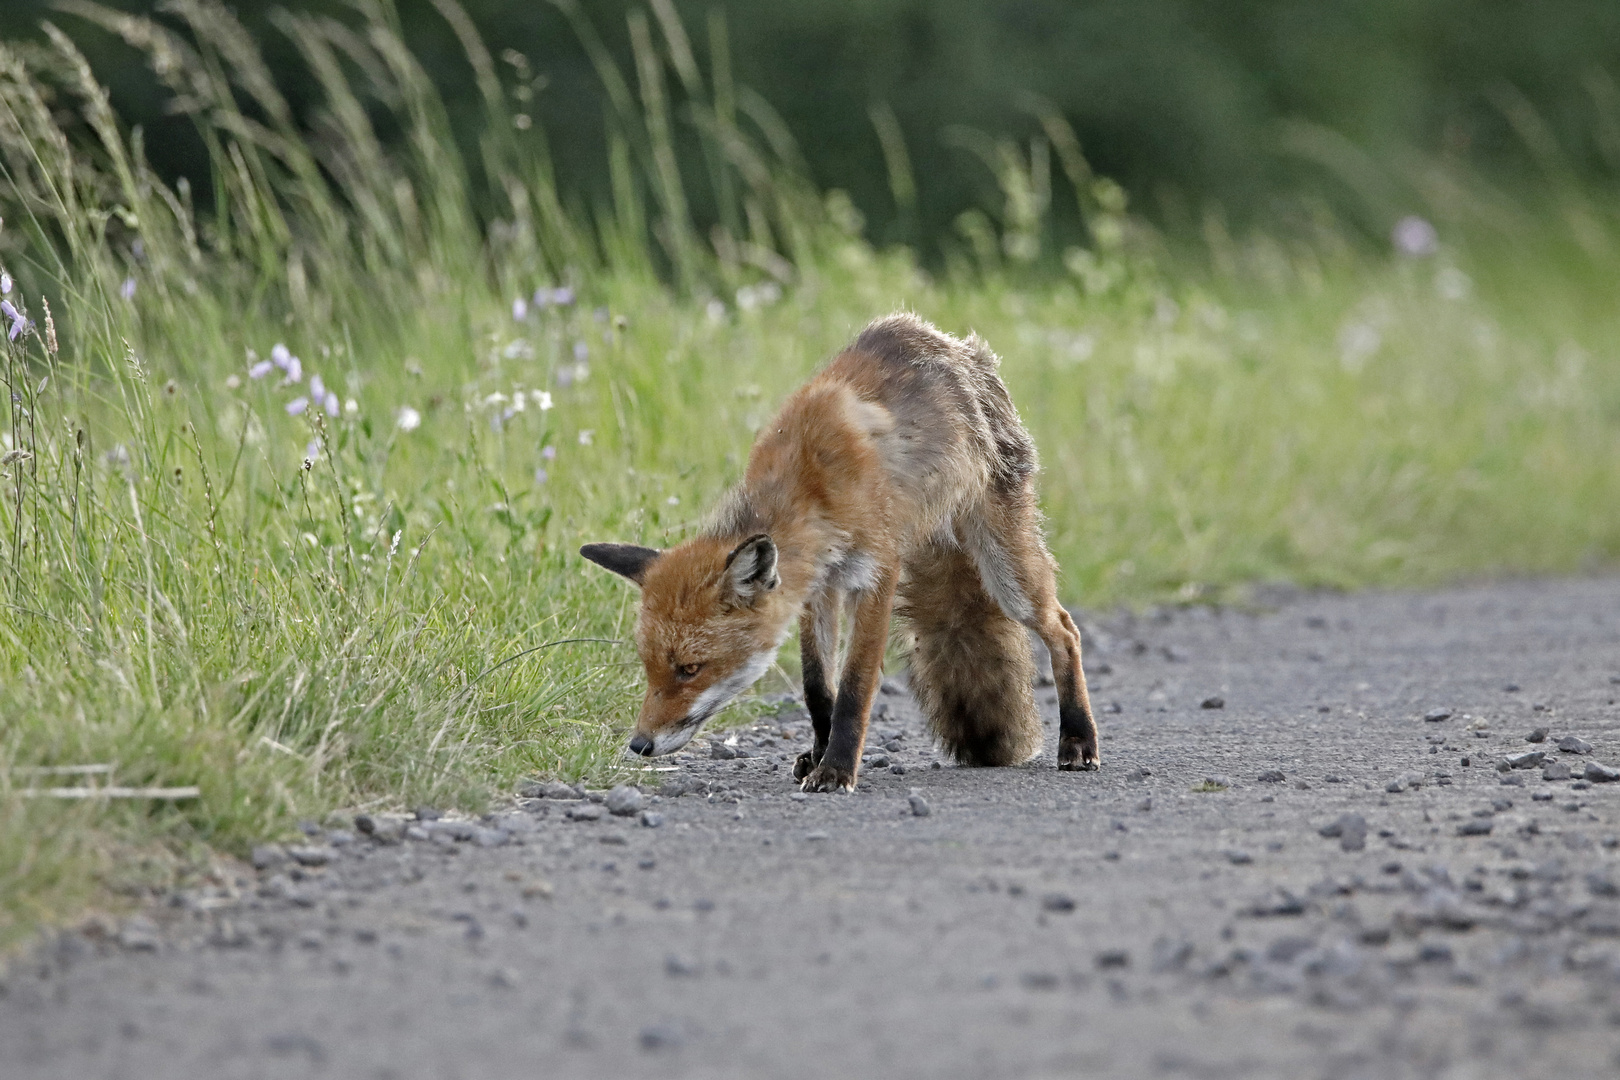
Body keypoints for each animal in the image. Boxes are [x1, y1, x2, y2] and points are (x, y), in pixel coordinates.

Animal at [583, 312, 1101, 793]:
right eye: (649, 666)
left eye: (690, 669)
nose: (639, 744)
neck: (812, 483)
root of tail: (957, 347)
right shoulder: (816, 587)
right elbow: (817, 686)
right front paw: (818, 751)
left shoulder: (877, 575)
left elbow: (854, 687)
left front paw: (835, 769)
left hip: (1006, 572)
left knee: (1064, 629)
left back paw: (1078, 740)